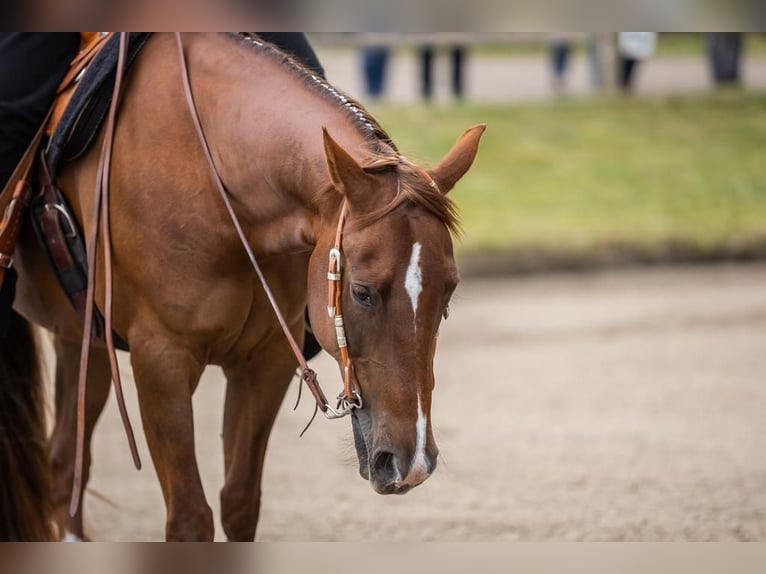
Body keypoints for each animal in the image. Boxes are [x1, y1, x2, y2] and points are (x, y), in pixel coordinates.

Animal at [4, 32, 485, 541]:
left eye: (448, 293)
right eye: (362, 292)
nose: (411, 463)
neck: (214, 179)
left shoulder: (265, 360)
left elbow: (239, 501)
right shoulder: (162, 361)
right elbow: (190, 518)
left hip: (83, 339)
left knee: (65, 466)